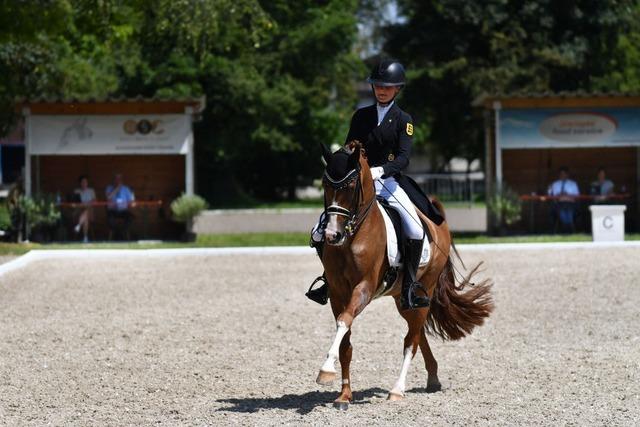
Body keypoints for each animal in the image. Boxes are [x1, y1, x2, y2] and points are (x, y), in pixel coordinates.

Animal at [318, 143, 492, 412]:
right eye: (326, 184)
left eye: (350, 185)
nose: (331, 235)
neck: (354, 234)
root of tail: (438, 221)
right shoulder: (338, 293)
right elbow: (345, 338)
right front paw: (344, 394)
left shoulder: (364, 288)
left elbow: (345, 321)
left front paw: (325, 370)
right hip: (402, 298)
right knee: (418, 333)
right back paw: (433, 378)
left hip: (424, 289)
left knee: (411, 339)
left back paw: (397, 390)